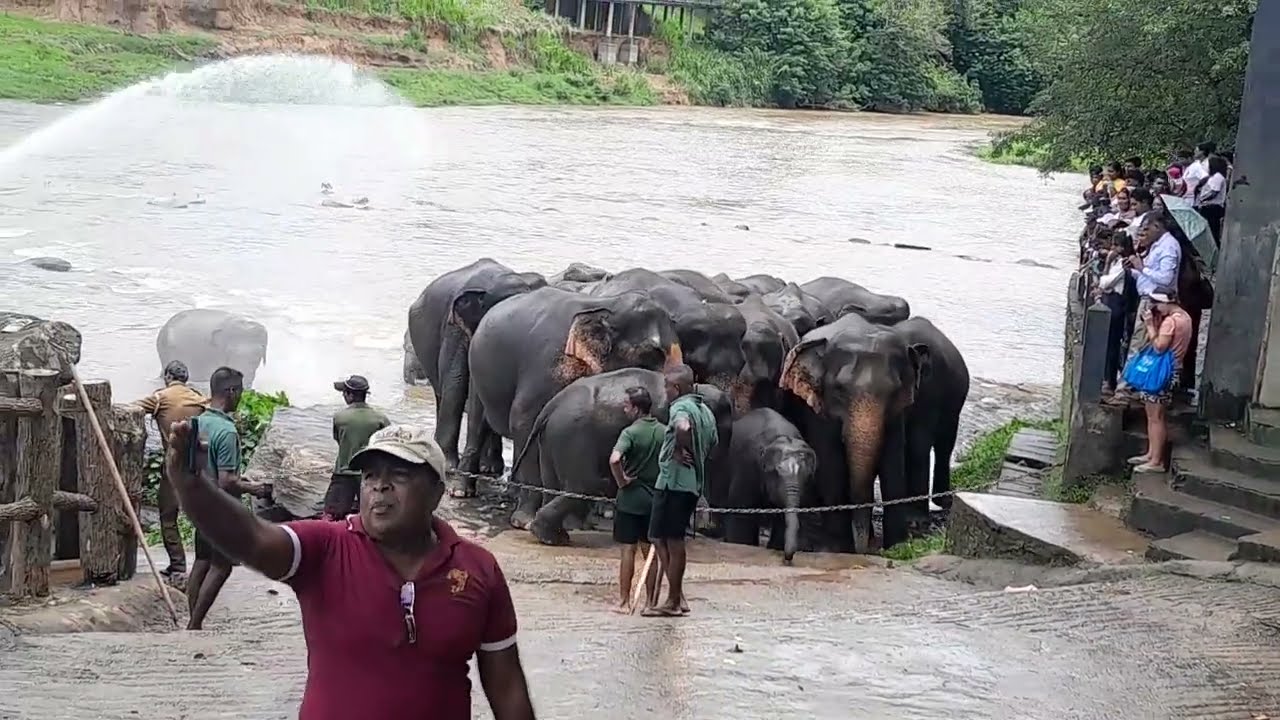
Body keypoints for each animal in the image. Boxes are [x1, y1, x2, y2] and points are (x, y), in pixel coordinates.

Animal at [468, 286, 682, 524]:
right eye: (653, 353)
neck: (607, 307)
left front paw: (588, 518)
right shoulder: (546, 363)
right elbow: (523, 419)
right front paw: (525, 521)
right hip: (475, 371)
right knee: (477, 422)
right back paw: (463, 491)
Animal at [507, 369, 733, 545]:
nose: (709, 529)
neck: (696, 388)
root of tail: (550, 407)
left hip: (552, 438)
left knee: (554, 485)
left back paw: (553, 536)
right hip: (572, 435)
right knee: (585, 486)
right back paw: (551, 536)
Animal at [778, 313, 930, 554]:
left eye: (893, 391)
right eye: (839, 390)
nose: (866, 549)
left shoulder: (897, 413)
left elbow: (893, 467)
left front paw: (896, 546)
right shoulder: (818, 410)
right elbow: (832, 465)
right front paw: (839, 548)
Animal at [893, 317, 970, 527]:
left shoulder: (931, 391)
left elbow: (918, 442)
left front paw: (914, 521)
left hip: (953, 406)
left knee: (944, 445)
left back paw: (943, 502)